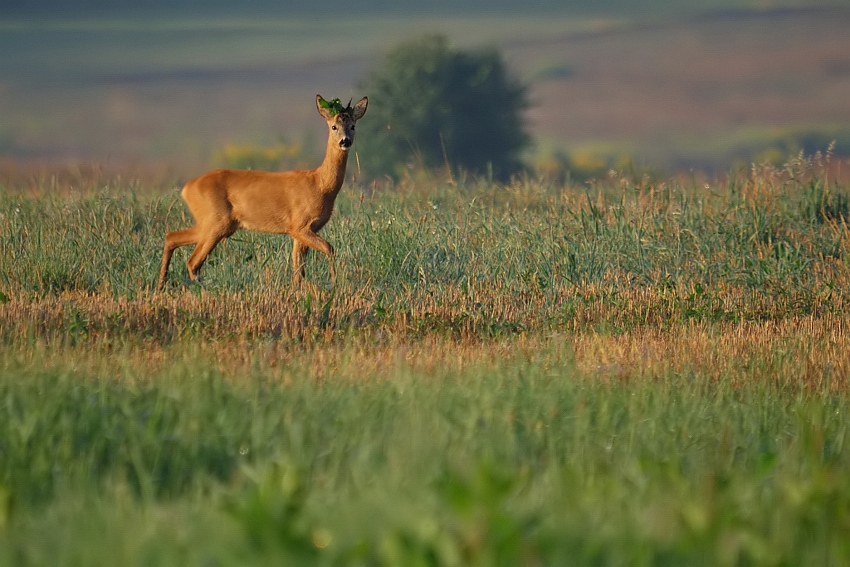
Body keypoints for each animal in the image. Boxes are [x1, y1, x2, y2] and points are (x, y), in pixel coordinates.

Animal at [157, 95, 368, 290]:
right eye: (334, 126)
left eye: (353, 126)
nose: (345, 141)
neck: (321, 185)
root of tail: (188, 188)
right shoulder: (299, 225)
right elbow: (329, 248)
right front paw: (334, 283)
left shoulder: (302, 230)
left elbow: (298, 269)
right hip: (215, 221)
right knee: (192, 261)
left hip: (215, 223)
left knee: (171, 237)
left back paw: (161, 285)